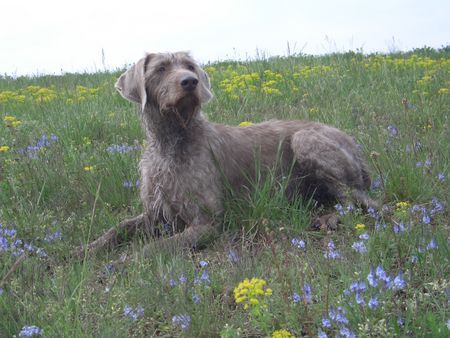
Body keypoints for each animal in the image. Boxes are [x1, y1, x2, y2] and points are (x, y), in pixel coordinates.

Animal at [75, 51, 374, 255]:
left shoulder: (207, 223)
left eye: (189, 66)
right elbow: (119, 228)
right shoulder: (155, 213)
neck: (171, 143)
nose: (191, 81)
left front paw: (125, 261)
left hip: (305, 139)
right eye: (160, 68)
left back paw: (328, 218)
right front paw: (85, 250)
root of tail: (357, 149)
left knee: (351, 200)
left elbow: (154, 248)